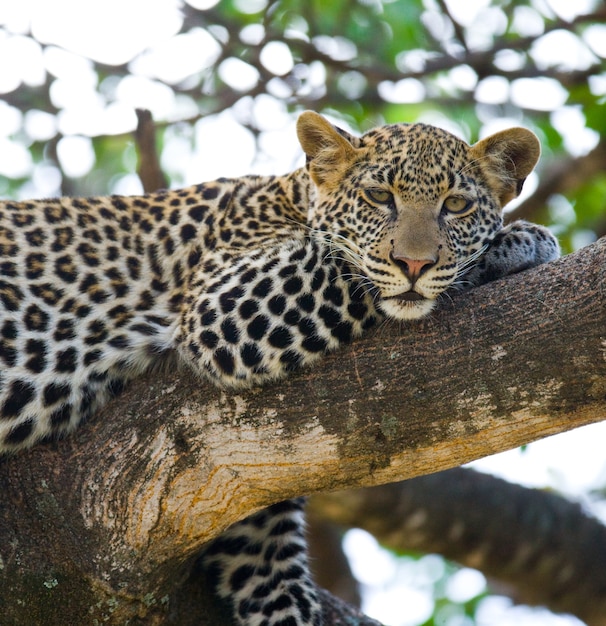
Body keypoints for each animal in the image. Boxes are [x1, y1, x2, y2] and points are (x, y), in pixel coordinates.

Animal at [0, 112, 560, 624]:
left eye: (457, 205)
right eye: (379, 197)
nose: (415, 266)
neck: (292, 196)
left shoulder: (254, 525)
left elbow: (268, 573)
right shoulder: (224, 303)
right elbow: (347, 263)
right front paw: (521, 241)